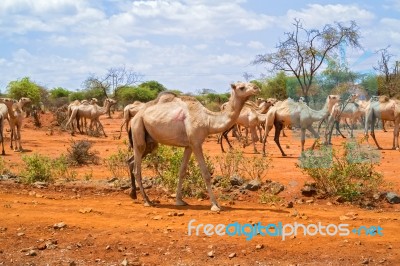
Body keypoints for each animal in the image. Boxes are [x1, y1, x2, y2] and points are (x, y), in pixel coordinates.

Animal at [126, 82, 260, 211]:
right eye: (241, 87)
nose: (256, 87)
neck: (208, 120)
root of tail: (136, 116)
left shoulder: (189, 146)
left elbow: (182, 171)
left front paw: (179, 201)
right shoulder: (196, 143)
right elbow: (205, 174)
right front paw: (215, 205)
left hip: (150, 142)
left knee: (131, 161)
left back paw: (133, 194)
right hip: (138, 130)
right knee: (137, 169)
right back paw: (147, 201)